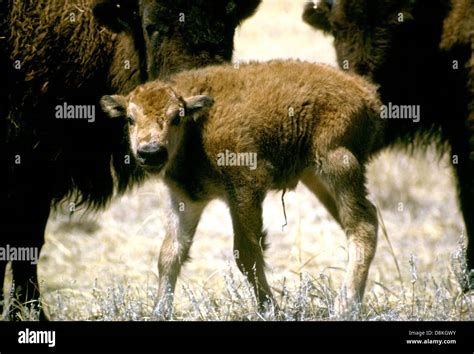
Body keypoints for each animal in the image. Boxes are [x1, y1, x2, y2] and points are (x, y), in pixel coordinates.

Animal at [100, 60, 386, 316]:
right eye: (130, 119)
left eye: (176, 118)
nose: (150, 152)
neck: (197, 127)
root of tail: (364, 92)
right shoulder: (185, 198)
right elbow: (170, 253)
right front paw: (159, 311)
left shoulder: (244, 189)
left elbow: (247, 254)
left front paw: (269, 309)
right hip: (316, 177)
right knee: (358, 222)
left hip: (338, 164)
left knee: (363, 225)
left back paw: (345, 307)